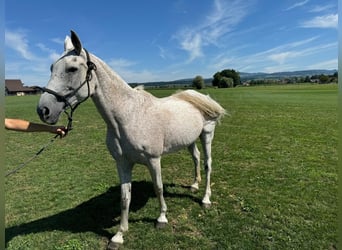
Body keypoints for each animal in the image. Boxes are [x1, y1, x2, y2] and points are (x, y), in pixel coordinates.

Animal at [37, 30, 226, 248]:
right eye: (52, 68)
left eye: (72, 68)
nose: (43, 110)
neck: (129, 116)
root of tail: (200, 96)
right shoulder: (123, 163)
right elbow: (125, 197)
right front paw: (119, 235)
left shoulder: (153, 160)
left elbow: (158, 188)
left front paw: (162, 218)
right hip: (189, 140)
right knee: (196, 158)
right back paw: (194, 185)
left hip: (207, 135)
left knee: (207, 164)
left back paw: (205, 199)